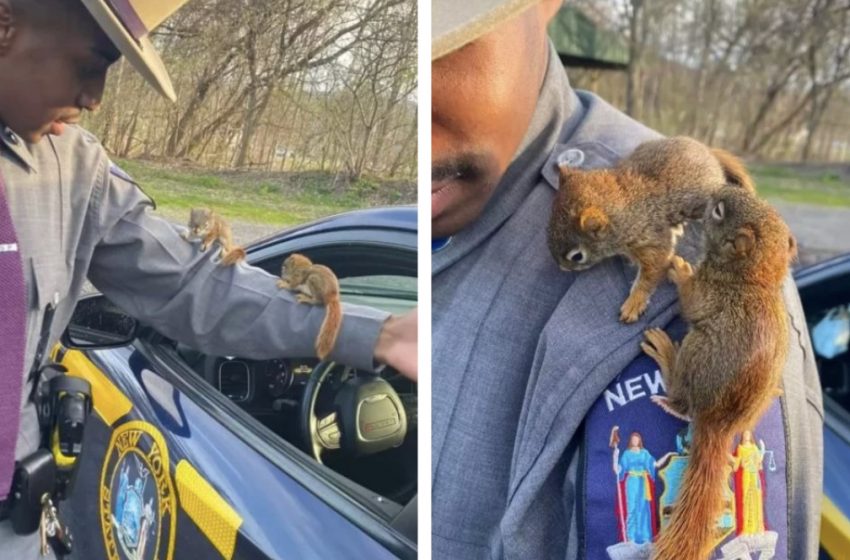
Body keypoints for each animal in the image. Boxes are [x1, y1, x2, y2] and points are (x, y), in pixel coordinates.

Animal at [548, 134, 752, 324]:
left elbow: (652, 271)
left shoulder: (652, 238)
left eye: (577, 256)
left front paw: (634, 303)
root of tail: (708, 151)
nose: (562, 268)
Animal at [640, 188, 792, 560]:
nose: (712, 193)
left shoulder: (709, 291)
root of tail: (718, 423)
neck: (753, 276)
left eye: (720, 211)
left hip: (696, 351)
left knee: (681, 401)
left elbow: (691, 299)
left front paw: (681, 270)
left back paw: (665, 353)